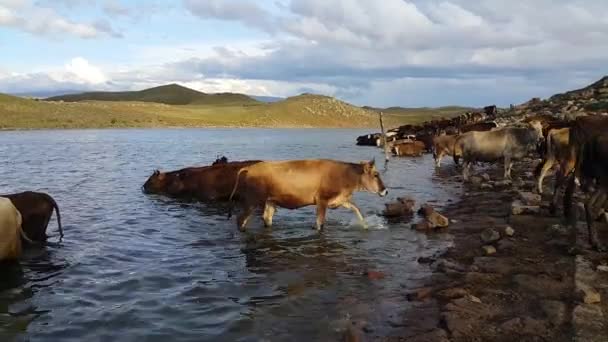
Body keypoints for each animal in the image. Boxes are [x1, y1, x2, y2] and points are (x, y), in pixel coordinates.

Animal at [226, 160, 388, 230]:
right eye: (376, 174)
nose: (385, 191)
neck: (344, 175)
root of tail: (250, 167)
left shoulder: (340, 199)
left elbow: (356, 209)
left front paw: (365, 225)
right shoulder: (322, 200)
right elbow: (320, 223)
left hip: (270, 201)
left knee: (267, 218)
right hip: (252, 200)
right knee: (240, 219)